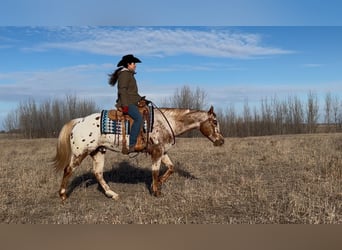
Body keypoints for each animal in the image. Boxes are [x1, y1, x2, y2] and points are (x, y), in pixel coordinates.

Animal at [51, 105, 224, 201]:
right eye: (215, 122)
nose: (221, 141)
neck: (166, 122)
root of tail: (79, 121)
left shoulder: (163, 151)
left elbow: (171, 168)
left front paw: (158, 184)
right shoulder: (157, 152)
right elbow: (155, 171)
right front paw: (156, 191)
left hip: (98, 152)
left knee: (98, 173)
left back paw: (112, 194)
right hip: (80, 153)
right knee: (68, 170)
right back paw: (63, 195)